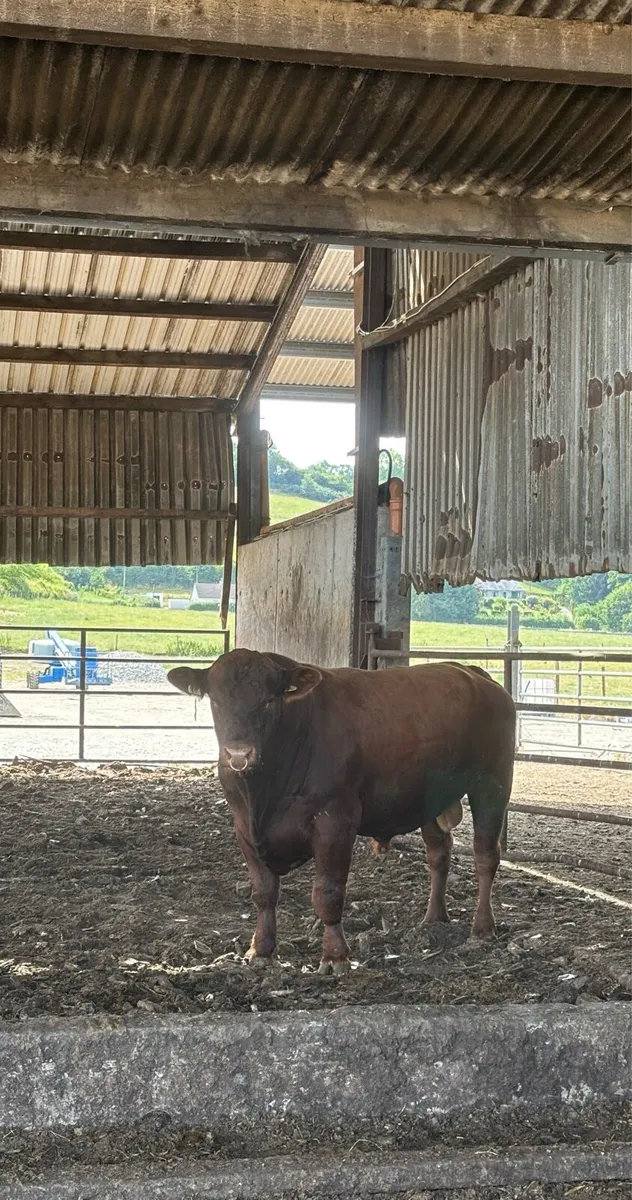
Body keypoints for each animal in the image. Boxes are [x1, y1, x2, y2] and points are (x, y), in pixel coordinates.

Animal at [168, 650, 515, 974]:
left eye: (268, 700)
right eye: (216, 701)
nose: (239, 754)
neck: (264, 794)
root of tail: (471, 671)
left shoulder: (335, 821)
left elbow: (328, 892)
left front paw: (335, 956)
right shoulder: (243, 827)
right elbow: (264, 892)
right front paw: (261, 950)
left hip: (493, 783)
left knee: (485, 856)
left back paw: (482, 928)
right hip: (431, 799)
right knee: (439, 854)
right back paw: (433, 918)